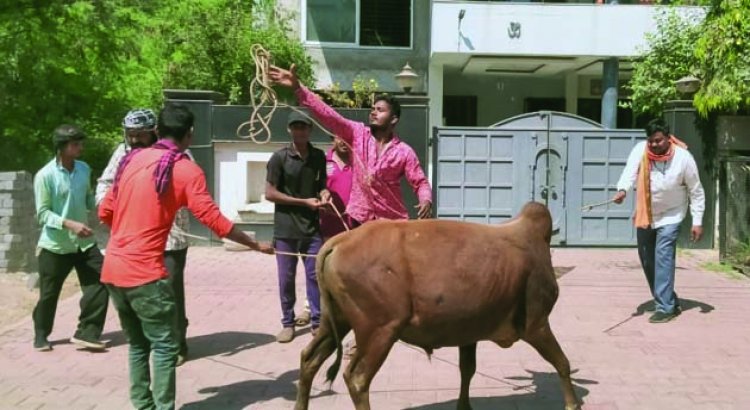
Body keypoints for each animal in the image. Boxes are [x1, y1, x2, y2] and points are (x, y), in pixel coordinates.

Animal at [296, 203, 580, 410]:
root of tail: (339, 242)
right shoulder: (537, 325)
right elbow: (563, 363)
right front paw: (572, 404)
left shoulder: (469, 332)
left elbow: (467, 370)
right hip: (379, 330)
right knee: (357, 378)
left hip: (335, 321)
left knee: (309, 359)